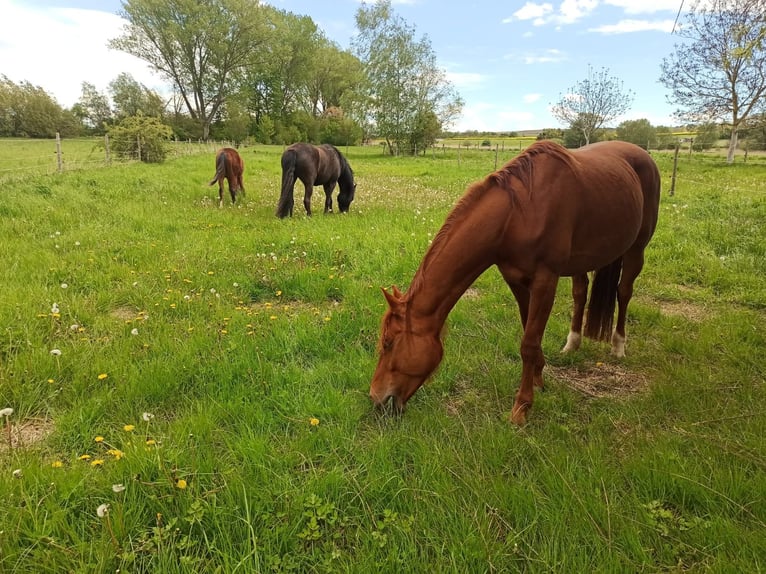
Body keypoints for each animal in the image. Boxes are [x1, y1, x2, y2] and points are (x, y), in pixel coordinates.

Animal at [370, 140, 660, 428]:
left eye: (388, 343)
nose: (375, 398)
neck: (518, 214)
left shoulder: (545, 280)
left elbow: (528, 343)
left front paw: (522, 407)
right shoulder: (516, 279)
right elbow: (528, 330)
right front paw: (539, 377)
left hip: (637, 249)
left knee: (624, 292)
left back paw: (618, 345)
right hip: (584, 260)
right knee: (580, 292)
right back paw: (572, 344)